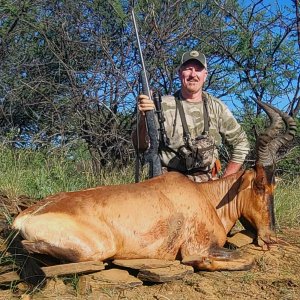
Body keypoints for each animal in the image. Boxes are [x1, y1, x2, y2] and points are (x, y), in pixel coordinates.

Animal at [11, 100, 296, 274]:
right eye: (259, 185)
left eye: (274, 185)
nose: (271, 236)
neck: (205, 196)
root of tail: (26, 214)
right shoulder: (197, 247)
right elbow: (246, 259)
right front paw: (201, 263)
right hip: (99, 247)